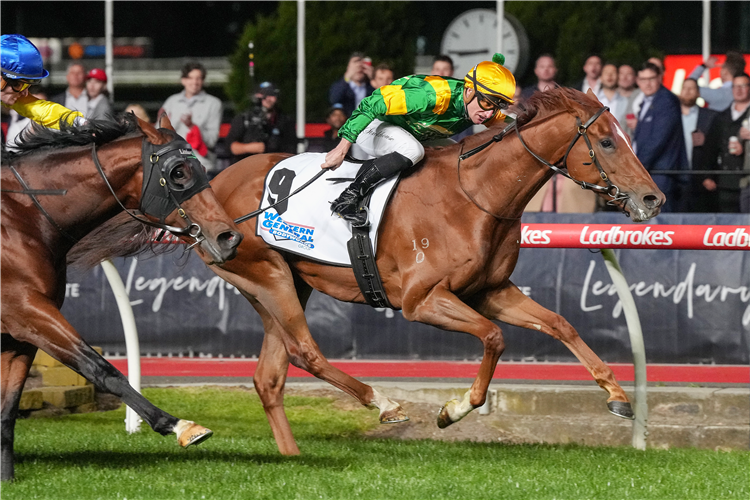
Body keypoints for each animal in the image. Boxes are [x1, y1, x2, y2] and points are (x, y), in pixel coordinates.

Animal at [0, 114, 244, 480]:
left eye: (201, 168)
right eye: (179, 173)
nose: (229, 237)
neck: (22, 217)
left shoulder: (21, 332)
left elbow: (8, 407)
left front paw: (7, 477)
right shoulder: (27, 310)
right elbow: (101, 368)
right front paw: (178, 424)